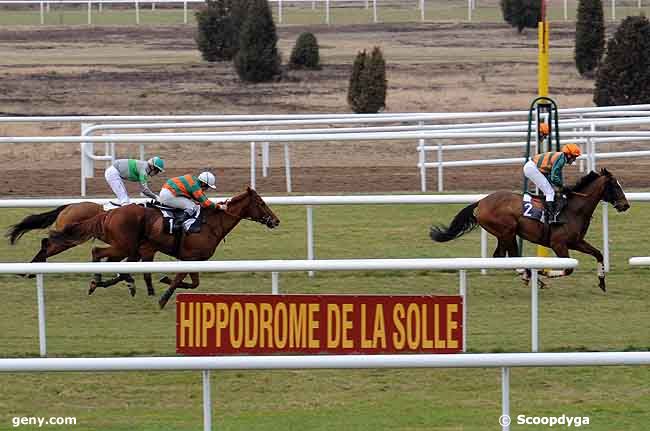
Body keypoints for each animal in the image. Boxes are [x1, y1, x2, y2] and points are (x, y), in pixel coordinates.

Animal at [47, 187, 276, 308]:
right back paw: (97, 281)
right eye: (261, 203)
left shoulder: (193, 260)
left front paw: (162, 282)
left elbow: (194, 284)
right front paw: (163, 297)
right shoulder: (189, 258)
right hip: (125, 245)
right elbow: (178, 281)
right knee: (98, 252)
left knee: (111, 261)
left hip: (128, 247)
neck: (211, 223)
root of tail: (108, 213)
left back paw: (109, 282)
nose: (276, 220)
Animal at [430, 170, 628, 292]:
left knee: (501, 256)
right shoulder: (558, 244)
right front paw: (544, 272)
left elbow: (598, 254)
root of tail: (481, 202)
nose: (625, 205)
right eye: (615, 186)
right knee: (511, 256)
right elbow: (568, 268)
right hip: (508, 231)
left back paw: (529, 276)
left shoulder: (576, 242)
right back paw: (533, 276)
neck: (573, 209)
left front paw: (602, 281)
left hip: (505, 234)